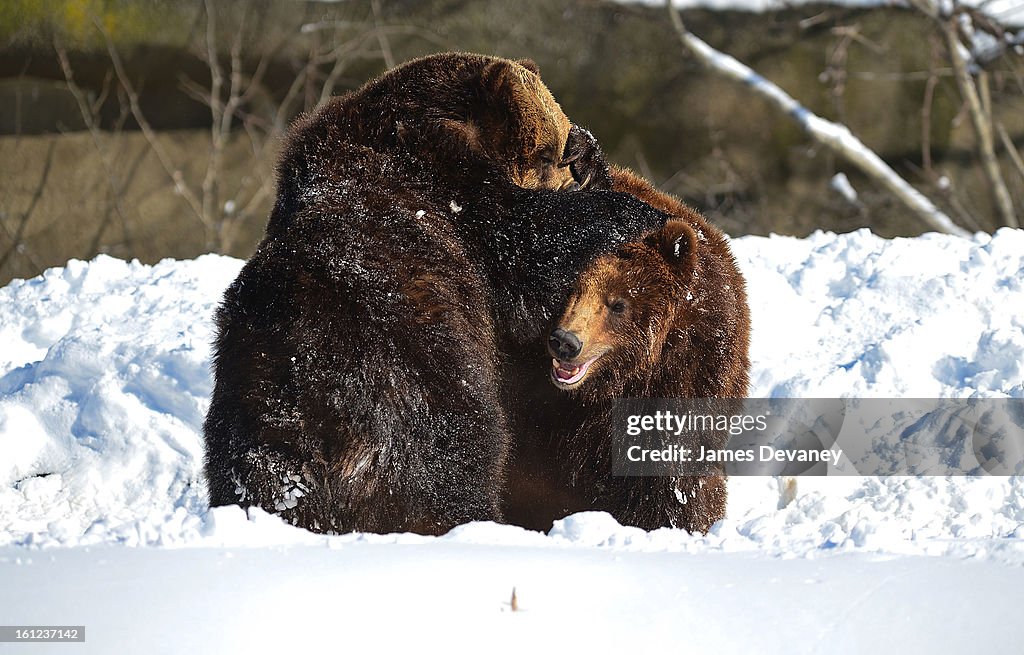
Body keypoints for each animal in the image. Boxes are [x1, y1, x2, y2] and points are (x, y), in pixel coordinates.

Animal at [202, 53, 667, 536]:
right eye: (547, 152)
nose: (569, 160)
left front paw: (591, 156)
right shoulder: (454, 193)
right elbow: (530, 249)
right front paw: (635, 209)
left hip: (249, 430)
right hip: (419, 390)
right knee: (454, 465)